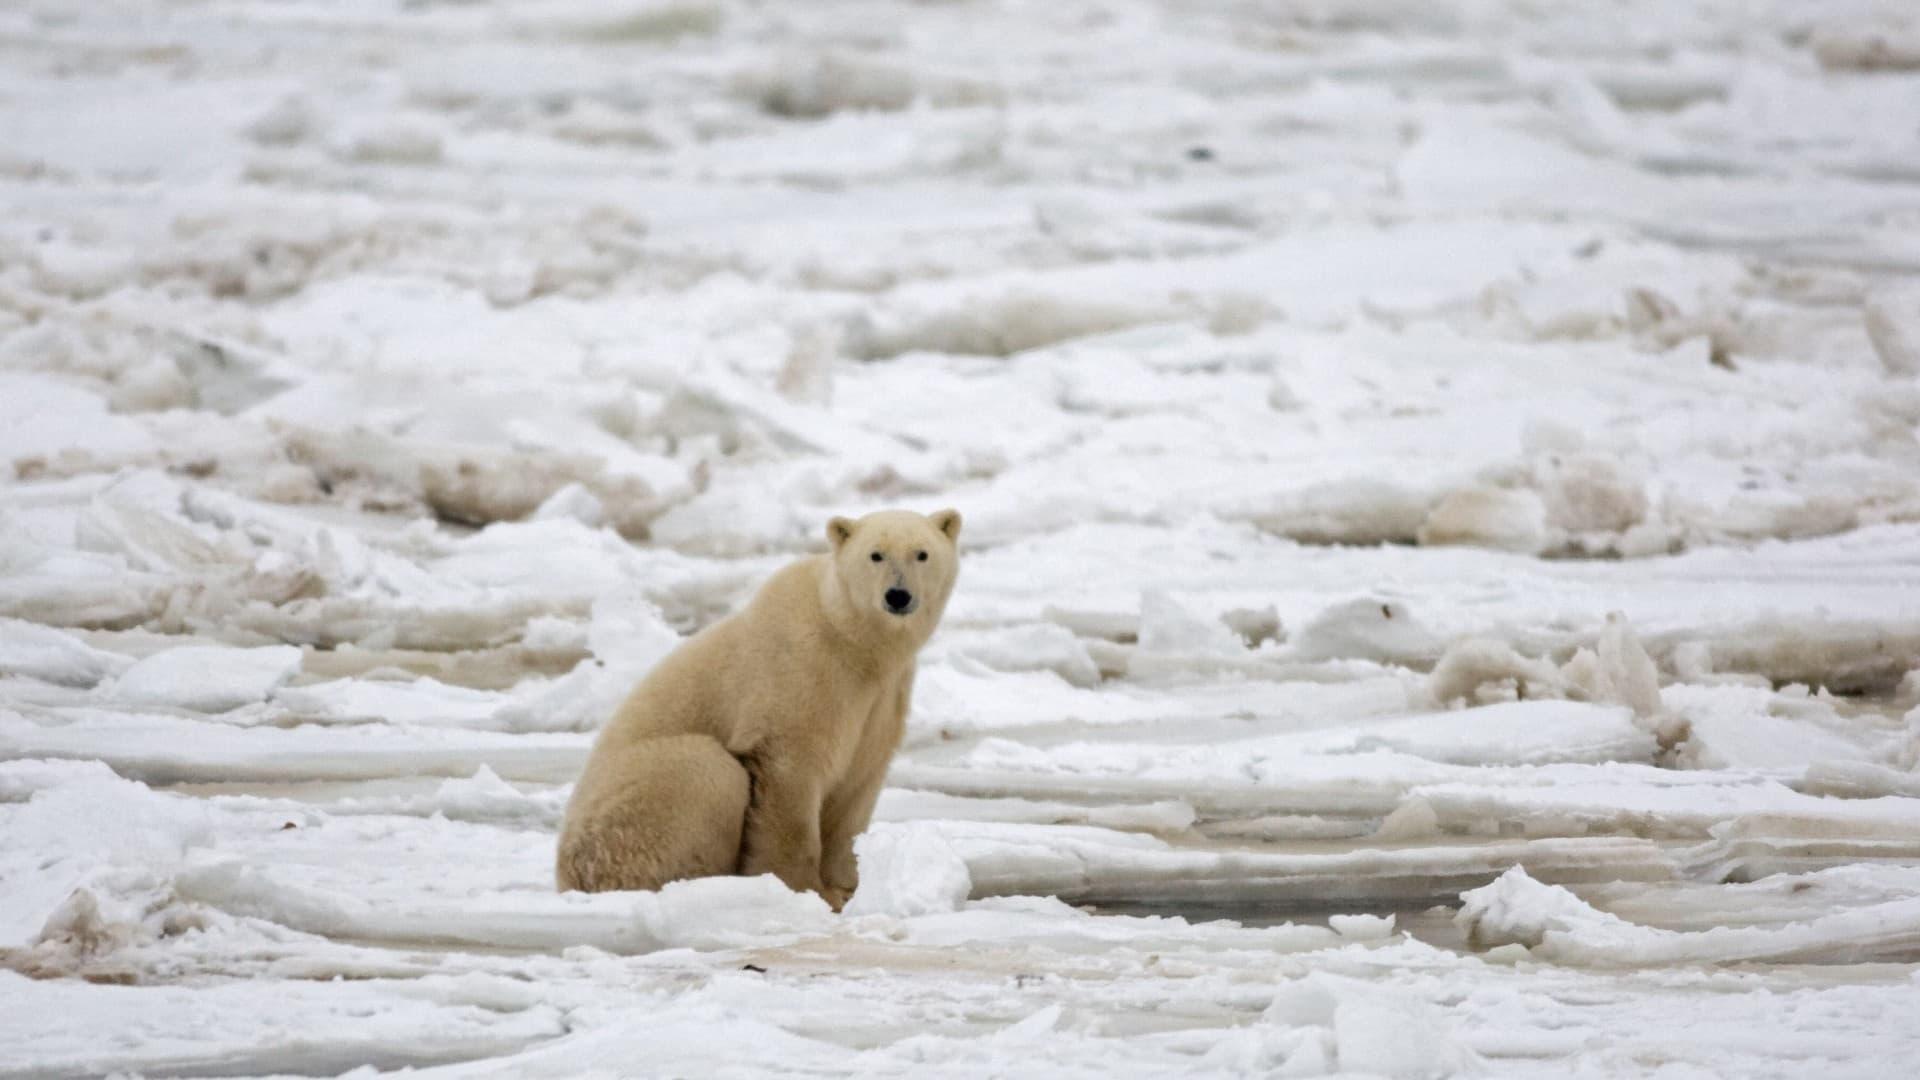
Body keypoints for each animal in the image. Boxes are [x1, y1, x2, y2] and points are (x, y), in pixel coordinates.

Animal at [556, 507, 960, 907]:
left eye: (922, 554)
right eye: (876, 554)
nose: (898, 596)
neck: (852, 639)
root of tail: (567, 877)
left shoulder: (881, 698)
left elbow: (858, 783)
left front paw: (849, 885)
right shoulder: (801, 672)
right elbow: (788, 775)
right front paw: (806, 889)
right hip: (627, 810)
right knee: (706, 769)